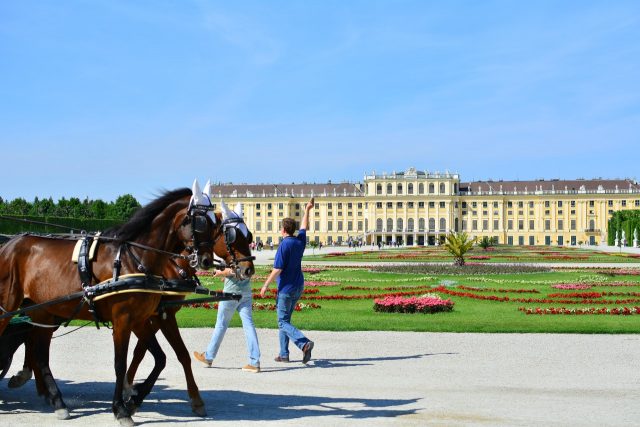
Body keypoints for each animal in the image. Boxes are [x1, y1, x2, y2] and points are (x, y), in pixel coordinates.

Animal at [0, 186, 252, 426]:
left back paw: (55, 399)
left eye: (248, 236)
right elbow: (123, 363)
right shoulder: (132, 319)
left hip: (42, 310)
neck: (138, 260)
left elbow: (160, 357)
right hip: (11, 307)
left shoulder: (144, 318)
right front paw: (122, 406)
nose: (248, 269)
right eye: (203, 223)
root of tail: (9, 243)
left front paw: (134, 397)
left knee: (39, 351)